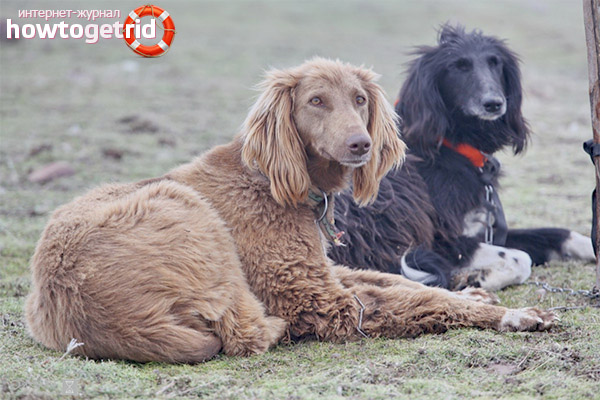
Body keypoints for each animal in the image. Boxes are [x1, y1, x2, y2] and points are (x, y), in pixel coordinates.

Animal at [26, 58, 556, 363]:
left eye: (359, 99)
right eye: (316, 101)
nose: (361, 144)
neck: (276, 182)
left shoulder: (330, 270)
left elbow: (399, 283)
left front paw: (477, 294)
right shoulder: (319, 299)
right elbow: (416, 303)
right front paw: (511, 314)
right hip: (187, 210)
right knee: (244, 334)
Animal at [330, 25, 595, 291]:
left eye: (495, 63)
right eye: (458, 67)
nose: (494, 103)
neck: (453, 147)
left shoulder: (482, 230)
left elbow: (559, 234)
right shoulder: (440, 240)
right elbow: (520, 259)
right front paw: (476, 277)